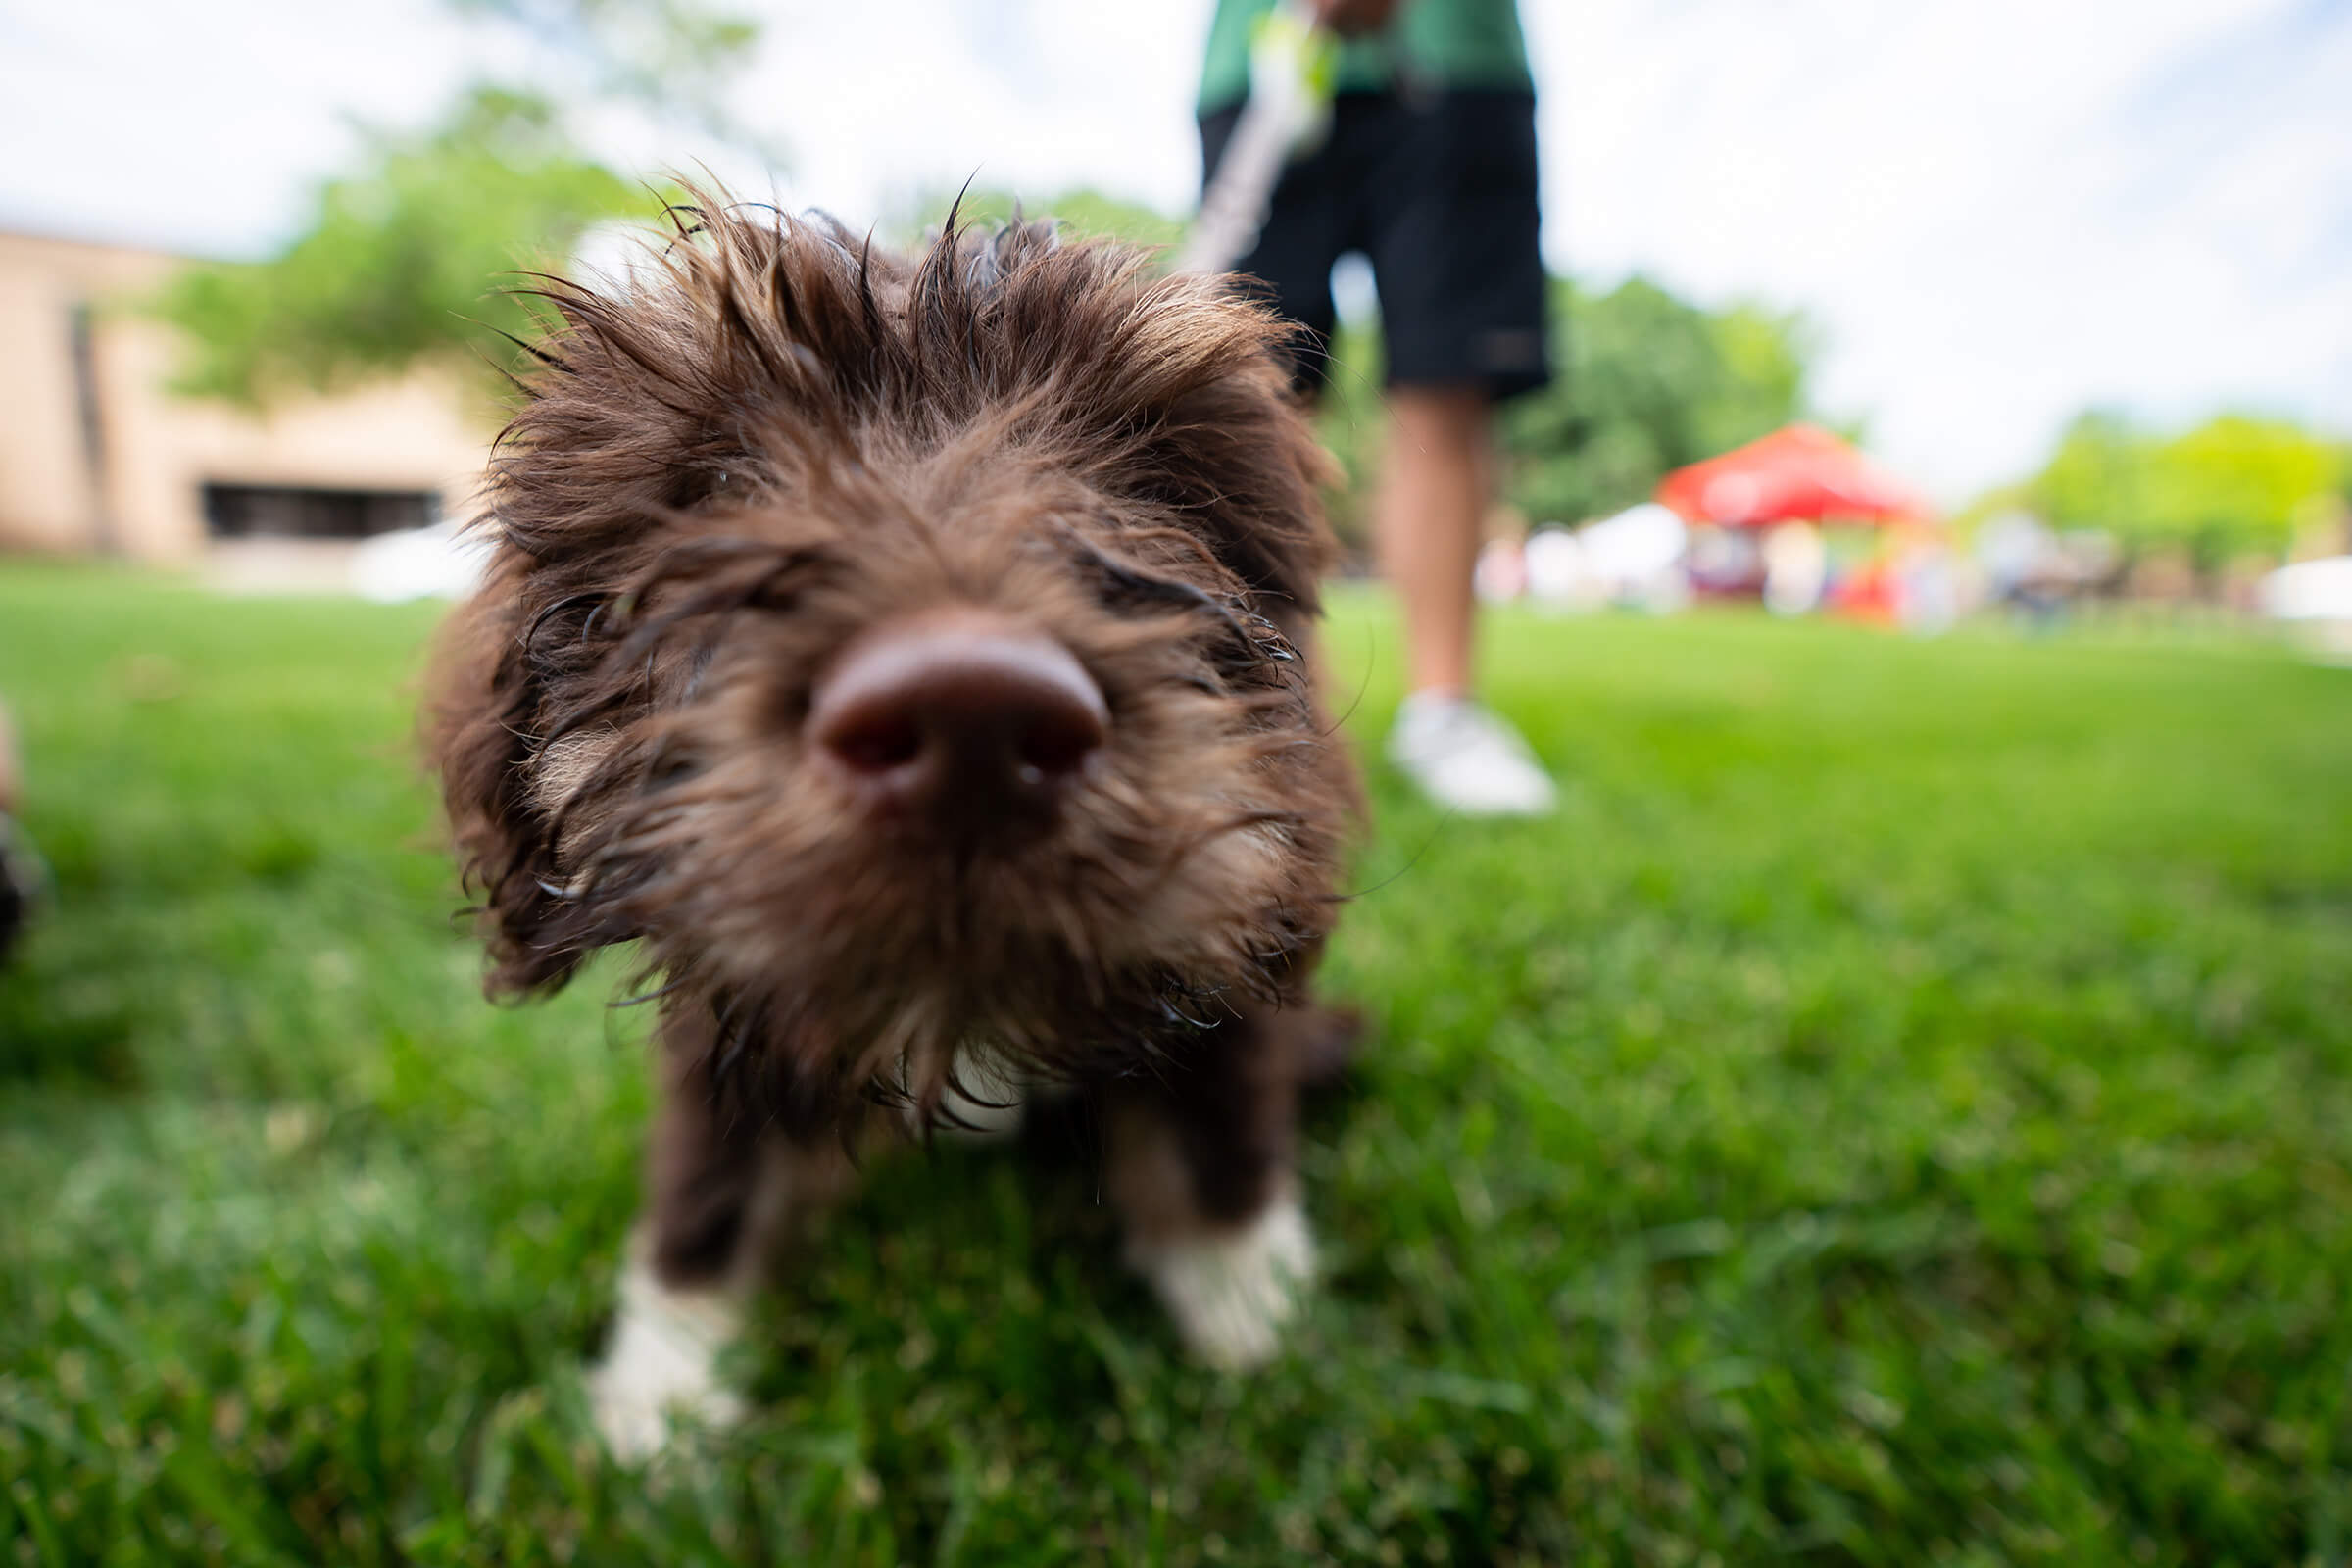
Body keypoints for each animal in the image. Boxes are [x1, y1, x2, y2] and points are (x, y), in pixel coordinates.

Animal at [427, 199, 1364, 1457]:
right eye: (715, 486)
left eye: (1157, 476)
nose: (973, 717)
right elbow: (706, 1187)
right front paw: (663, 1400)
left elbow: (1216, 1135)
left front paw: (1254, 1326)